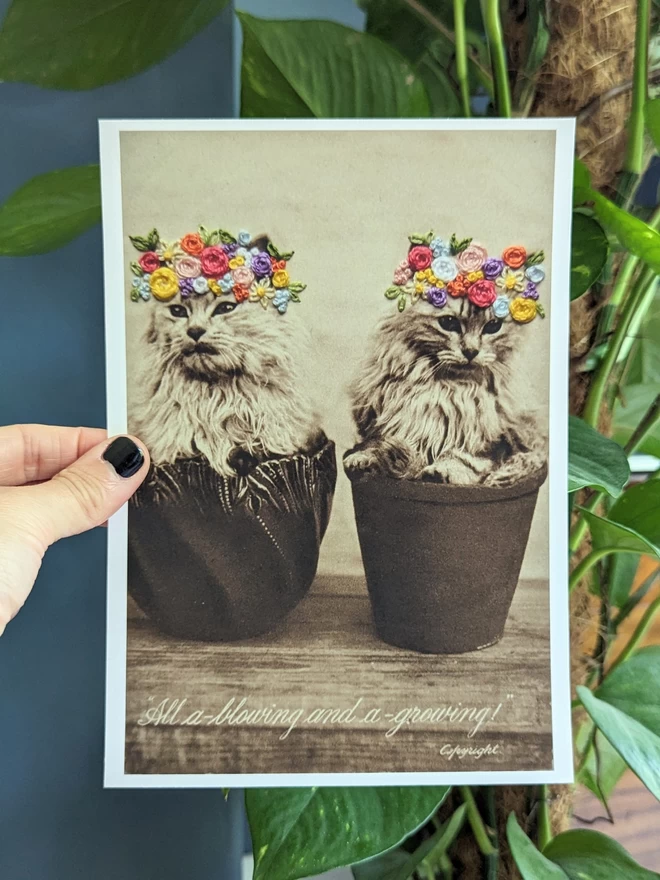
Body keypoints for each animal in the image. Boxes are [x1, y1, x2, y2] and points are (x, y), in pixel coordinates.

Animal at [346, 296, 548, 488]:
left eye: (493, 326)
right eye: (449, 322)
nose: (471, 351)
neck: (450, 389)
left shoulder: (491, 440)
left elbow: (464, 458)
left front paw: (440, 471)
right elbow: (380, 445)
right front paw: (364, 458)